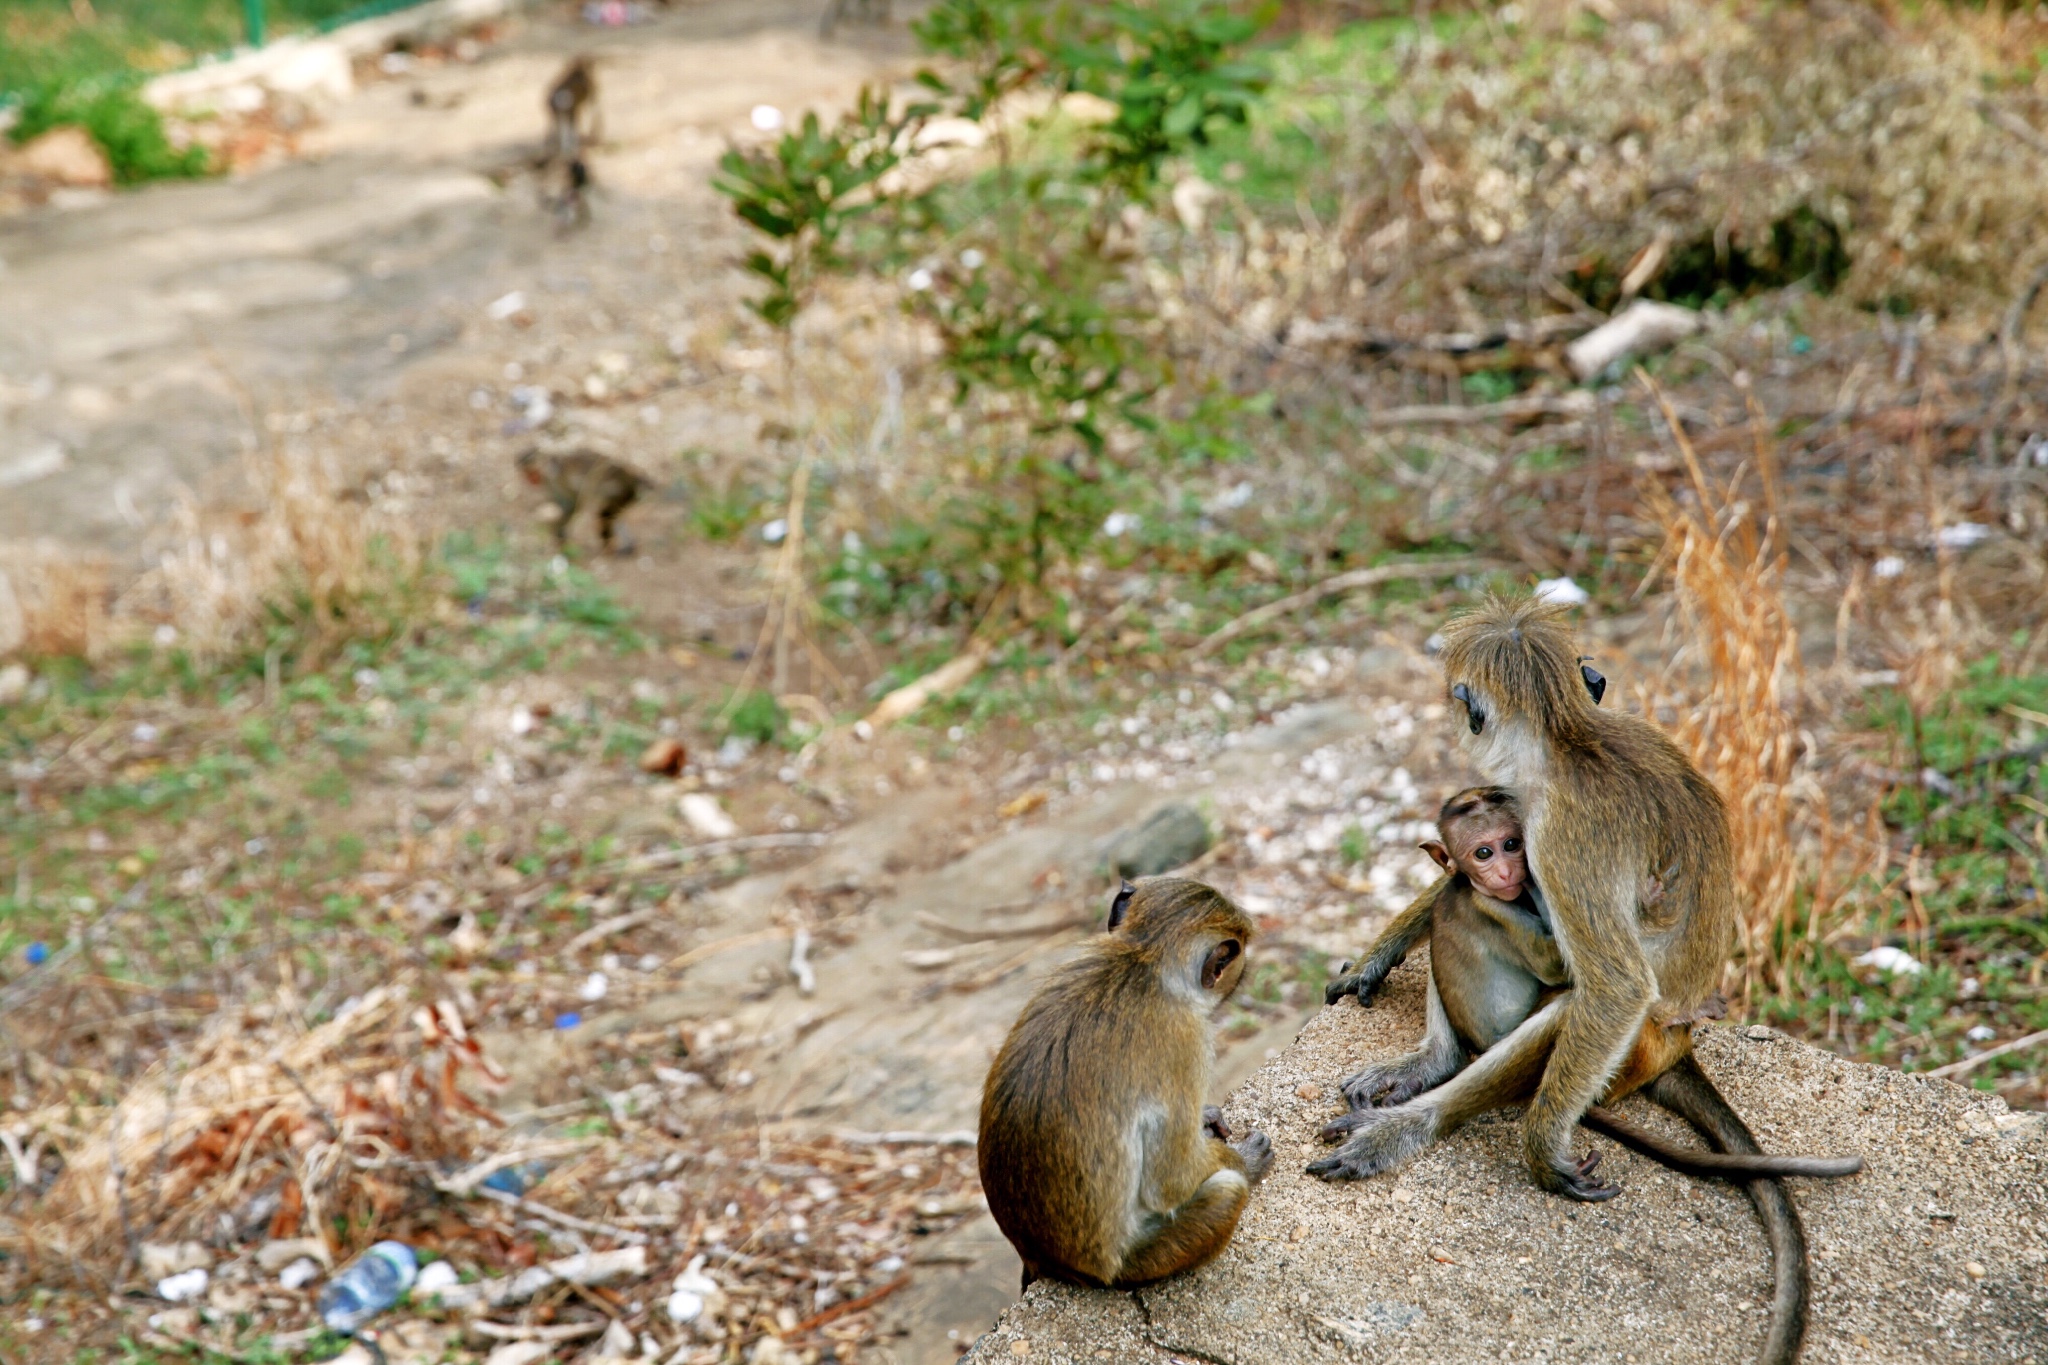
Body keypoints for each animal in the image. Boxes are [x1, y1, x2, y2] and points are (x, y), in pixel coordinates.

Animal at [512, 448, 647, 556]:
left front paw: (558, 535)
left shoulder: (554, 481)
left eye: (531, 473)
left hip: (615, 491)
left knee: (604, 513)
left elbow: (570, 506)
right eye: (526, 473)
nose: (530, 480)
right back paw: (627, 547)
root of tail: (631, 480)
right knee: (611, 515)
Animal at [978, 875, 1277, 1293]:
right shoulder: (1187, 1043)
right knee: (1227, 1191)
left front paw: (1206, 1117)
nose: (1242, 969)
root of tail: (1042, 1258)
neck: (1143, 959)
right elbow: (1170, 1180)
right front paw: (1246, 1161)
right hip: (1138, 1263)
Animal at [1318, 601, 1867, 1365]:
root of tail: (1678, 1039)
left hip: (1630, 1049)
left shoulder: (1559, 833)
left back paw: (1413, 1123)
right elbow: (1463, 887)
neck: (1571, 738)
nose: (1499, 863)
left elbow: (1611, 984)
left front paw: (1541, 1148)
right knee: (1463, 907)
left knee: (1571, 992)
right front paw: (1380, 952)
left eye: (1464, 706)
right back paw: (1433, 1061)